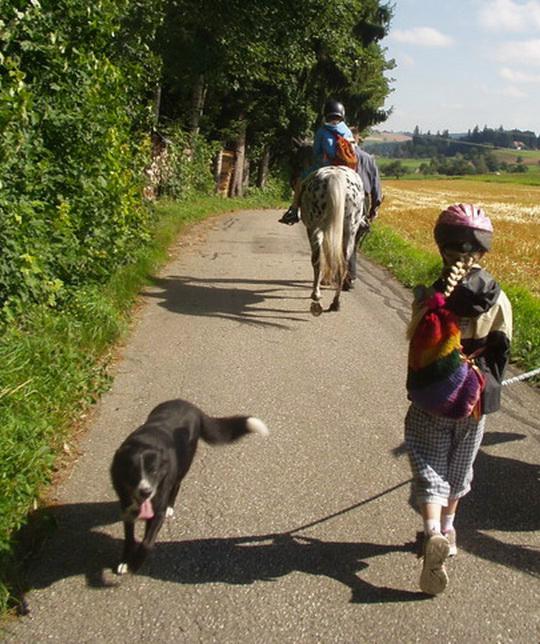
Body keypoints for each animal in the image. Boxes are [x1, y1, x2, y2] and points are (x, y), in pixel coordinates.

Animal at [110, 398, 270, 572]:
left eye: (154, 471)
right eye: (133, 471)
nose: (145, 492)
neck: (144, 443)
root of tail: (189, 405)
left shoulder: (157, 510)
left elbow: (147, 543)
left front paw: (135, 564)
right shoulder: (127, 507)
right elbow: (129, 538)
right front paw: (125, 561)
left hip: (184, 464)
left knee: (176, 486)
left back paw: (170, 507)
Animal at [300, 165, 368, 316]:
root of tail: (336, 176)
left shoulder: (312, 229)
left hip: (314, 227)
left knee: (317, 260)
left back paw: (316, 294)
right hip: (348, 230)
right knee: (342, 264)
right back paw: (335, 303)